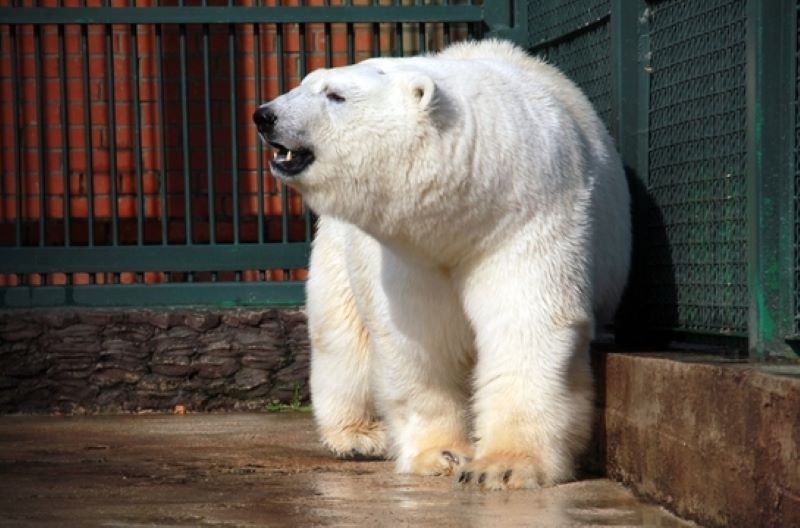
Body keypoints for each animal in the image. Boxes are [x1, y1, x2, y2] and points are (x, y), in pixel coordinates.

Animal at [255, 38, 632, 490]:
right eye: (304, 82)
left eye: (335, 94)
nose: (265, 115)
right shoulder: (401, 251)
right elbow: (419, 337)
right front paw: (443, 454)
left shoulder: (530, 211)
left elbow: (527, 322)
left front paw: (503, 466)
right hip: (335, 243)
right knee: (339, 331)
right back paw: (358, 436)